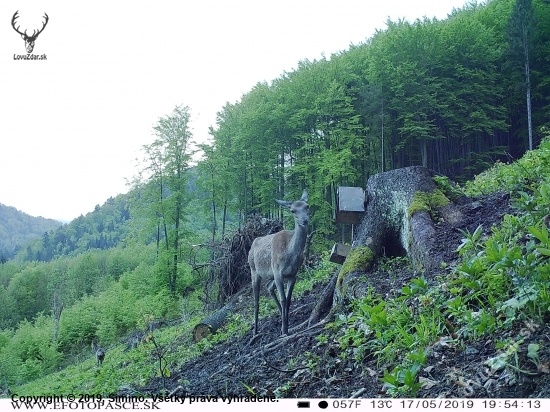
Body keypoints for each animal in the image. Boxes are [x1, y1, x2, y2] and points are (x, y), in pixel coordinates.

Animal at [250, 190, 310, 334]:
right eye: (293, 210)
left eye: (307, 206)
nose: (305, 220)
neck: (290, 255)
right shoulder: (278, 271)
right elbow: (283, 299)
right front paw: (284, 330)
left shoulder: (293, 275)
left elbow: (288, 300)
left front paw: (286, 325)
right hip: (254, 270)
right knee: (256, 301)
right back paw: (255, 330)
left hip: (270, 275)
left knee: (269, 287)